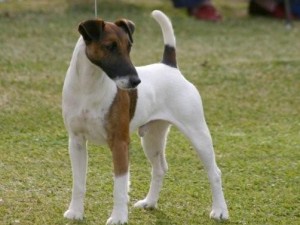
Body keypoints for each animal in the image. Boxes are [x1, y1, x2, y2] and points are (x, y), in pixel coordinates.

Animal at [62, 9, 229, 224]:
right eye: (110, 46)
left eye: (129, 46)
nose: (135, 81)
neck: (88, 88)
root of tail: (170, 67)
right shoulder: (76, 142)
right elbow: (78, 183)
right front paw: (75, 212)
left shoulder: (119, 143)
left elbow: (119, 186)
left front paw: (118, 217)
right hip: (152, 139)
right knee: (159, 169)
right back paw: (149, 202)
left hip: (198, 135)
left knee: (214, 172)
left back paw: (220, 211)